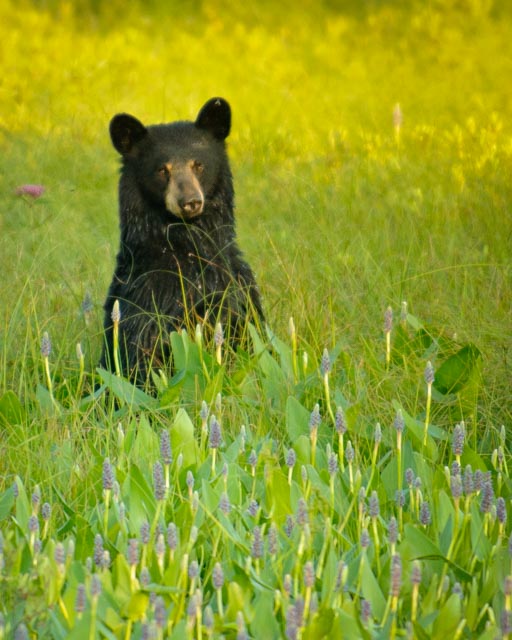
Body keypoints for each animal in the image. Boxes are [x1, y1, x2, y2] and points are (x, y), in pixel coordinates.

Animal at [99, 97, 264, 383]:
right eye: (161, 170)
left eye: (198, 165)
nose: (190, 202)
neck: (186, 245)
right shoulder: (148, 295)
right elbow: (143, 347)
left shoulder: (238, 289)